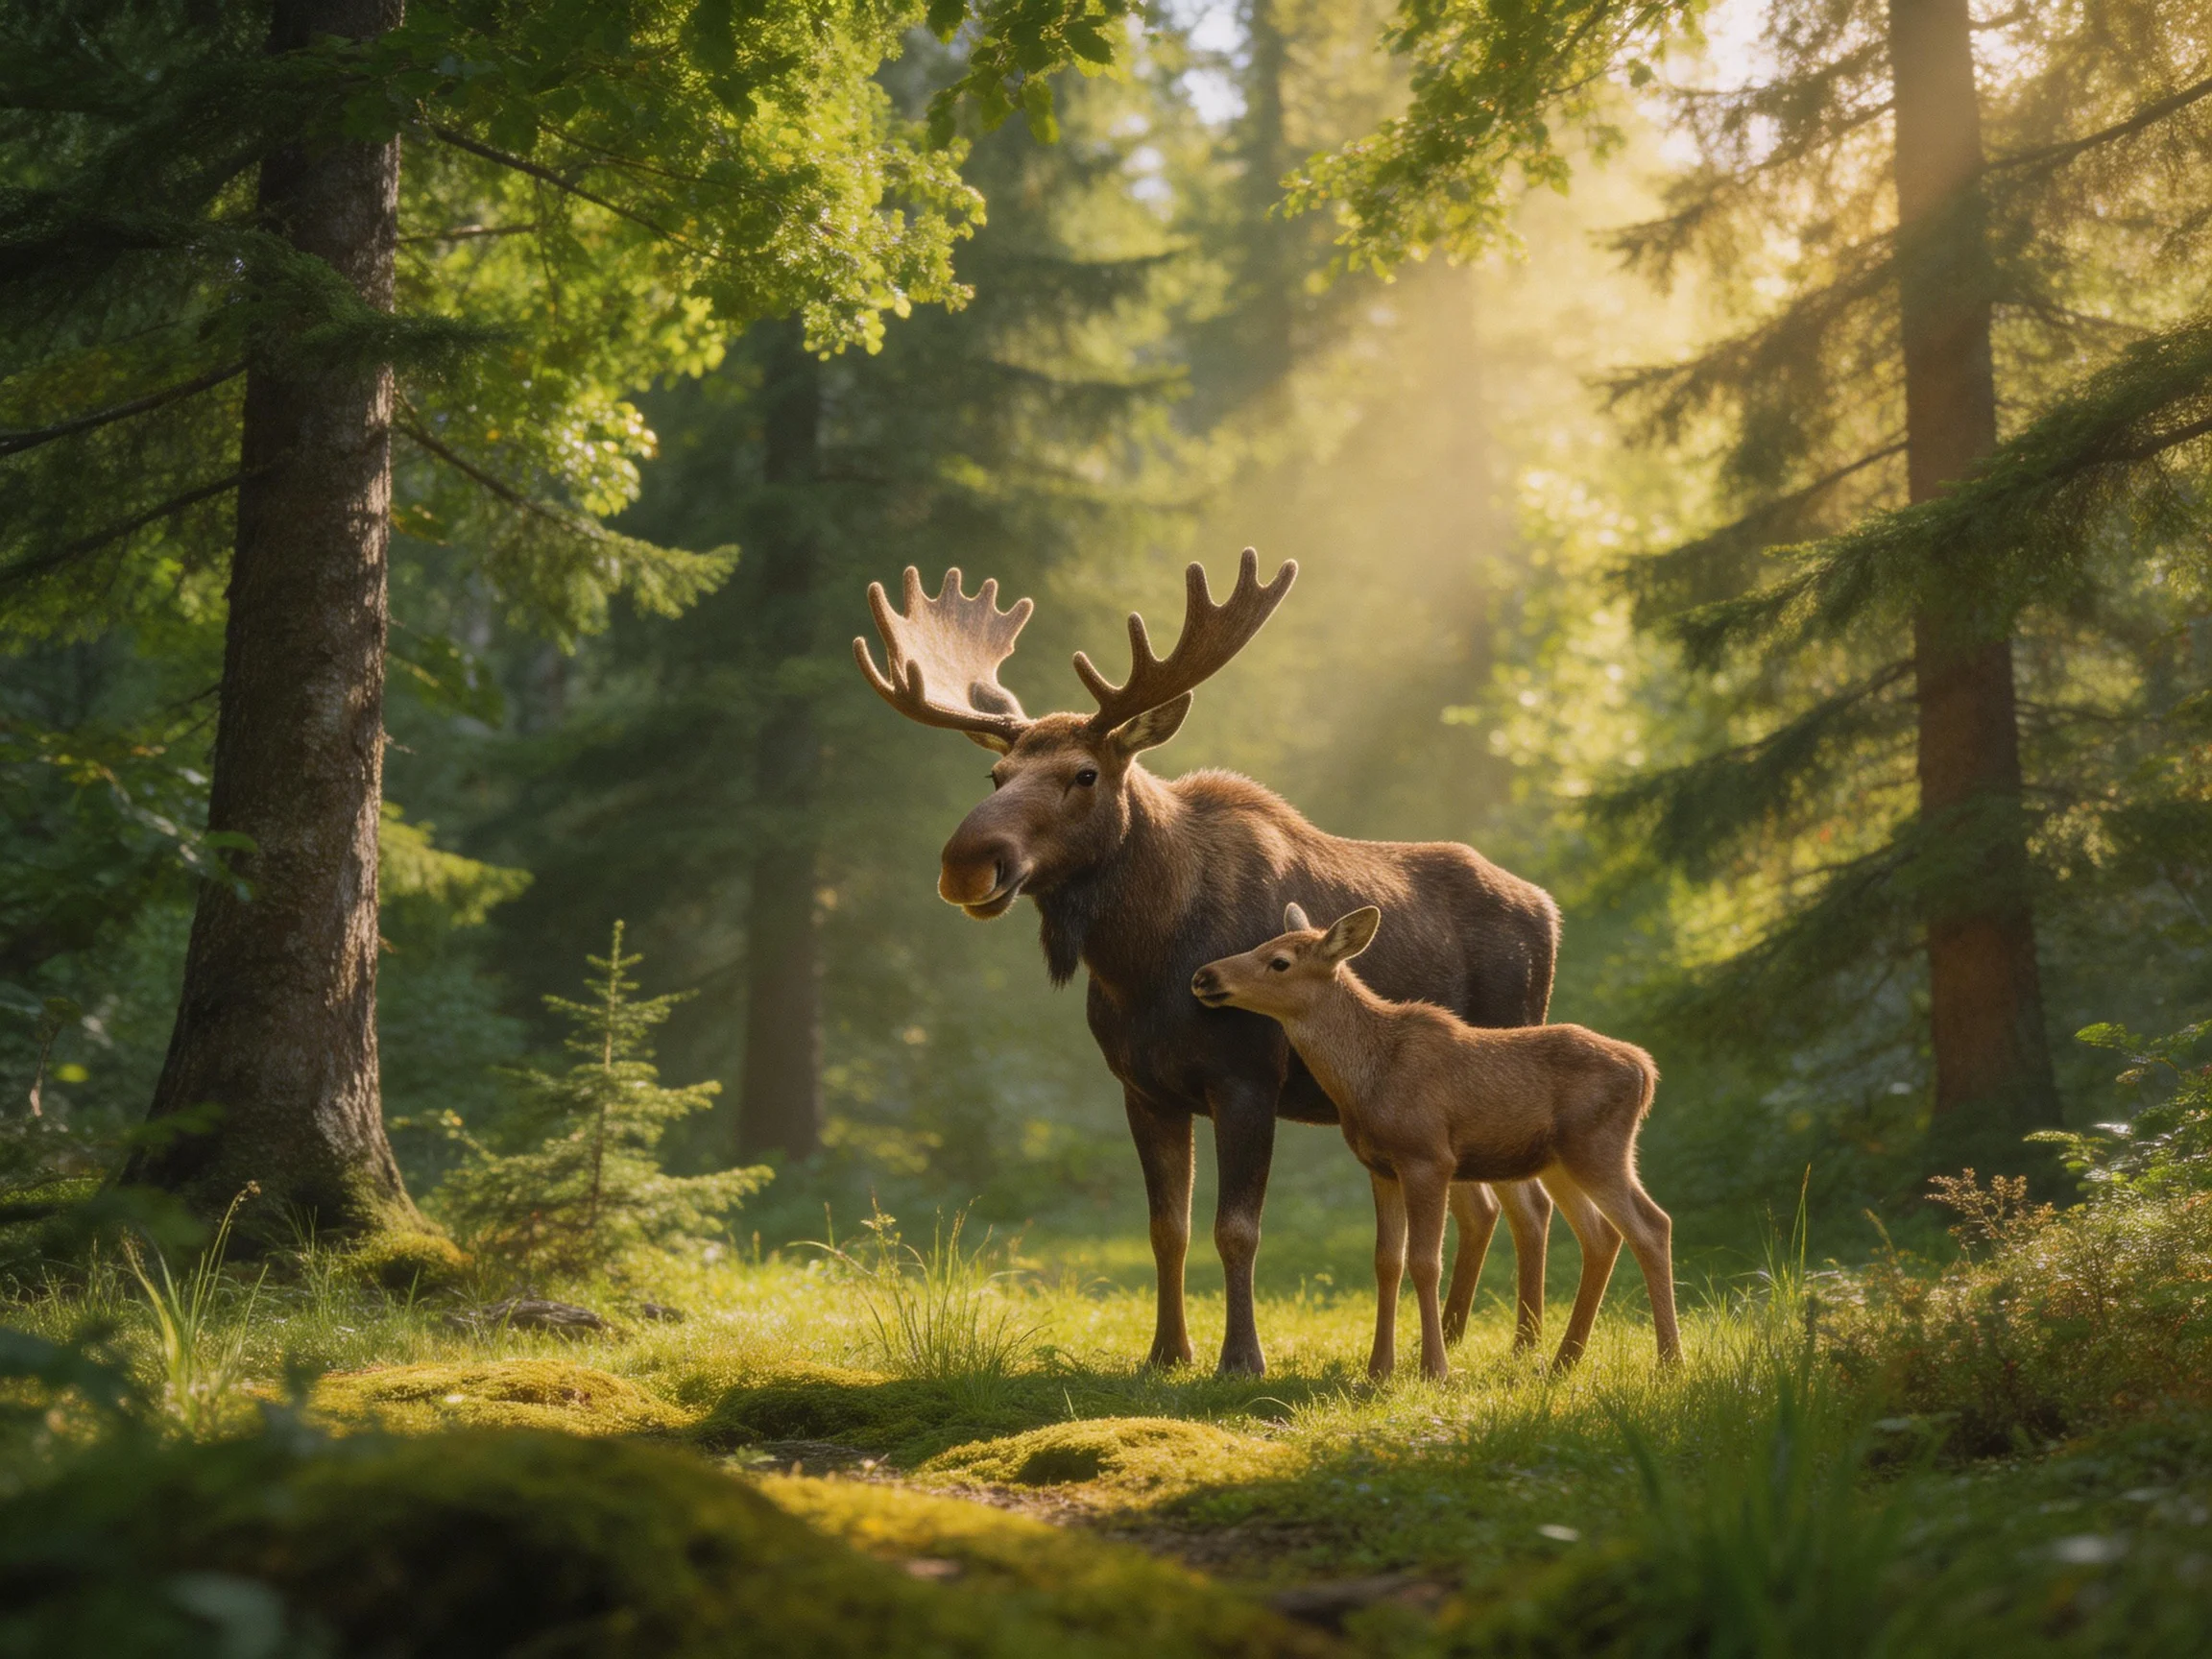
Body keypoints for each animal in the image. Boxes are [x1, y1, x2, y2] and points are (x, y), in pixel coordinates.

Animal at [854, 552, 1563, 1375]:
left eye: (1085, 774)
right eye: (995, 779)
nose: (967, 863)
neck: (1143, 963)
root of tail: (1549, 910)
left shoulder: (1248, 1076)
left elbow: (1237, 1228)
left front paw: (1241, 1358)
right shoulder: (1142, 1088)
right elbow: (1168, 1228)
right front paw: (1167, 1352)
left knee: (1532, 1201)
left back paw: (1524, 1345)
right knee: (1484, 1203)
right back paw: (1454, 1336)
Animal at [1192, 903, 1680, 1380]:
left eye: (1279, 961)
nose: (1204, 976)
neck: (1366, 1076)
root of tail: (1646, 1071)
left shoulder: (1428, 1157)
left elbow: (1426, 1262)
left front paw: (1434, 1368)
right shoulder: (1380, 1168)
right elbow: (1386, 1261)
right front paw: (1378, 1368)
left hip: (1599, 1148)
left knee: (1652, 1226)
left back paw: (1669, 1361)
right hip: (1560, 1161)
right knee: (1602, 1237)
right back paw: (1565, 1360)